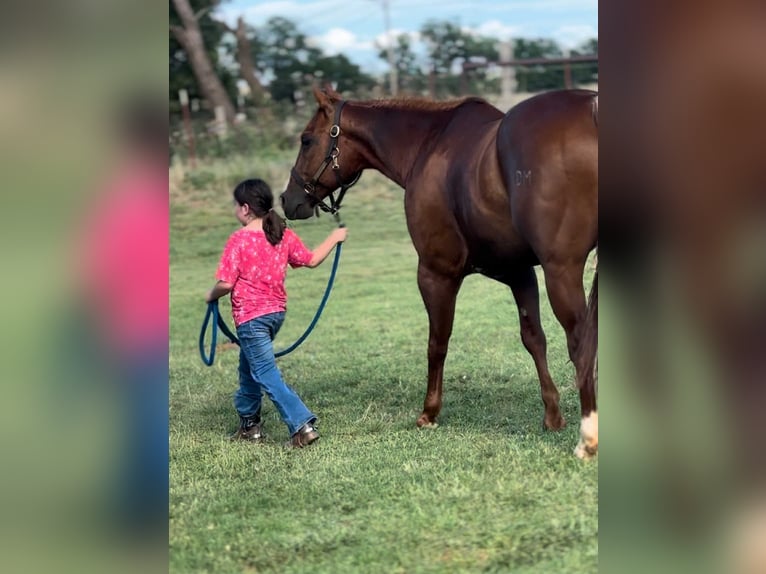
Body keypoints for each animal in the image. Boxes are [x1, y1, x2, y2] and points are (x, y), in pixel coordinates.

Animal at [280, 85, 599, 458]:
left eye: (306, 140)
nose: (287, 199)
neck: (428, 145)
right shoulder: (517, 271)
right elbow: (533, 338)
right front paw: (552, 415)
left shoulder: (436, 273)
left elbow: (437, 342)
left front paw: (429, 412)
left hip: (561, 271)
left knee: (581, 342)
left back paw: (588, 438)